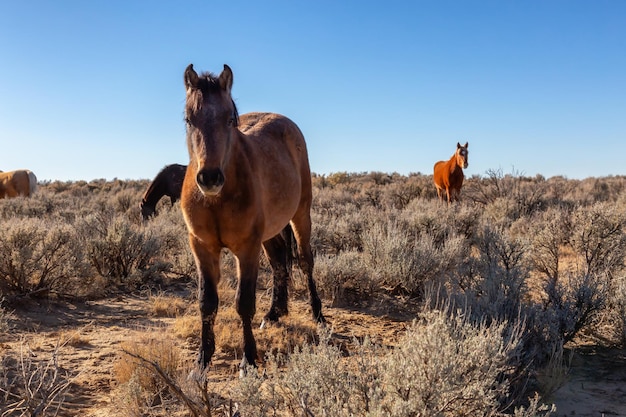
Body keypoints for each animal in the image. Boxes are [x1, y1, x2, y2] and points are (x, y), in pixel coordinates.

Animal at [180, 63, 324, 368]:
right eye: (189, 119)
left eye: (229, 120)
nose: (210, 178)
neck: (217, 200)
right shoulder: (202, 247)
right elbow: (206, 302)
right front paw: (202, 360)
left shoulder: (246, 248)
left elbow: (244, 302)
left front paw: (248, 360)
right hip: (270, 234)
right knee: (280, 264)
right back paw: (274, 313)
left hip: (300, 216)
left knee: (305, 261)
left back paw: (318, 315)